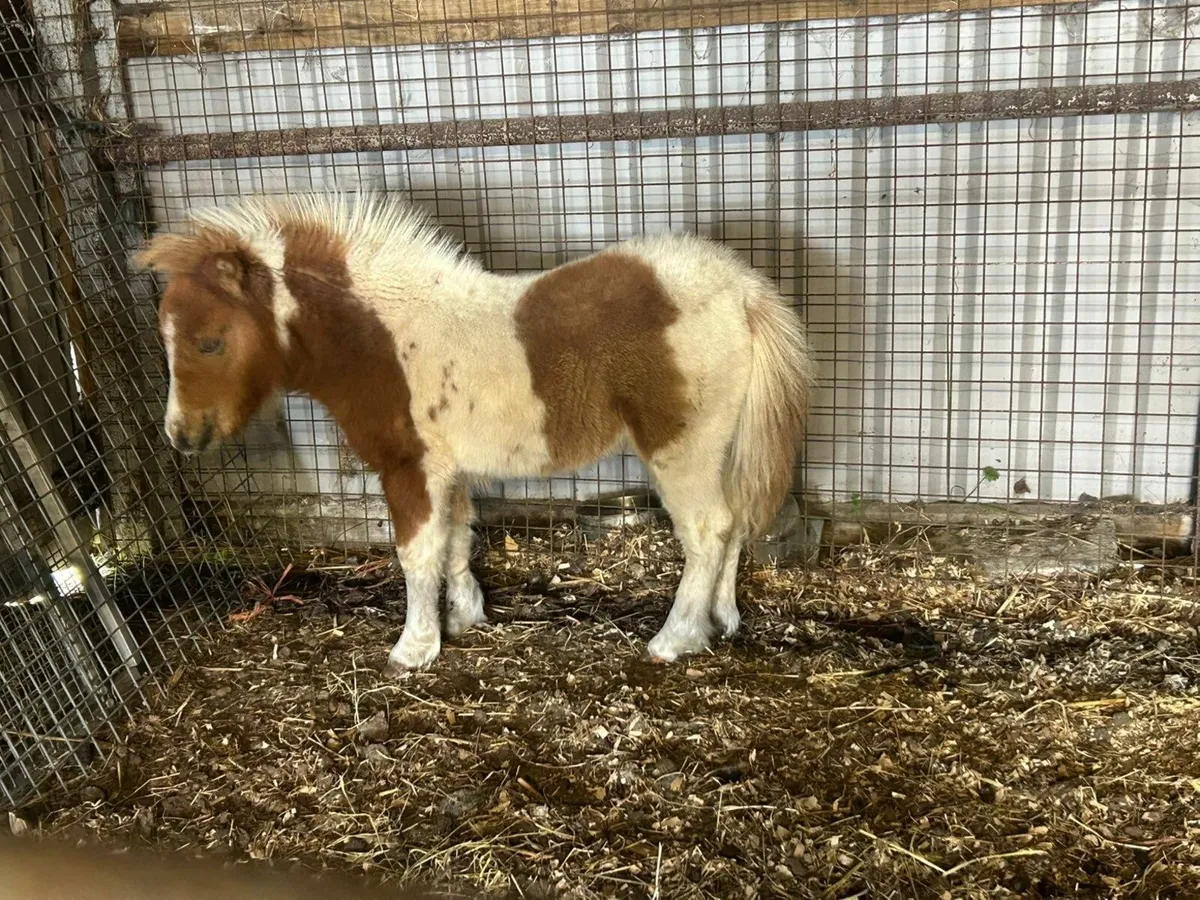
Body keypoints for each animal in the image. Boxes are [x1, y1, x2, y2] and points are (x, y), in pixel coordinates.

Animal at [137, 193, 815, 673]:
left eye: (211, 341)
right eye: (165, 338)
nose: (182, 436)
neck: (382, 339)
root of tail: (743, 289)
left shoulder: (409, 468)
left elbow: (417, 553)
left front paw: (413, 649)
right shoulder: (450, 469)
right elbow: (458, 540)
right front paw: (465, 619)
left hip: (681, 447)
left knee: (706, 531)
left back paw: (675, 639)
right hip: (719, 446)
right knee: (733, 526)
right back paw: (722, 619)